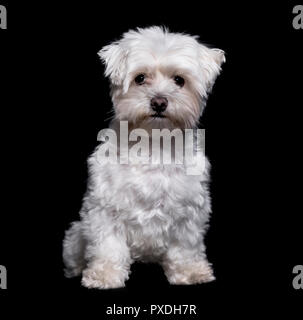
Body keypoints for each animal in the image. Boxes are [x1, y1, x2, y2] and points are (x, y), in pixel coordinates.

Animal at [63, 26, 226, 288]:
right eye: (140, 78)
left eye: (179, 80)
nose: (159, 101)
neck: (153, 144)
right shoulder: (104, 209)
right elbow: (108, 246)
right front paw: (104, 275)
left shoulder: (189, 211)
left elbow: (186, 247)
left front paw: (190, 272)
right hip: (77, 234)